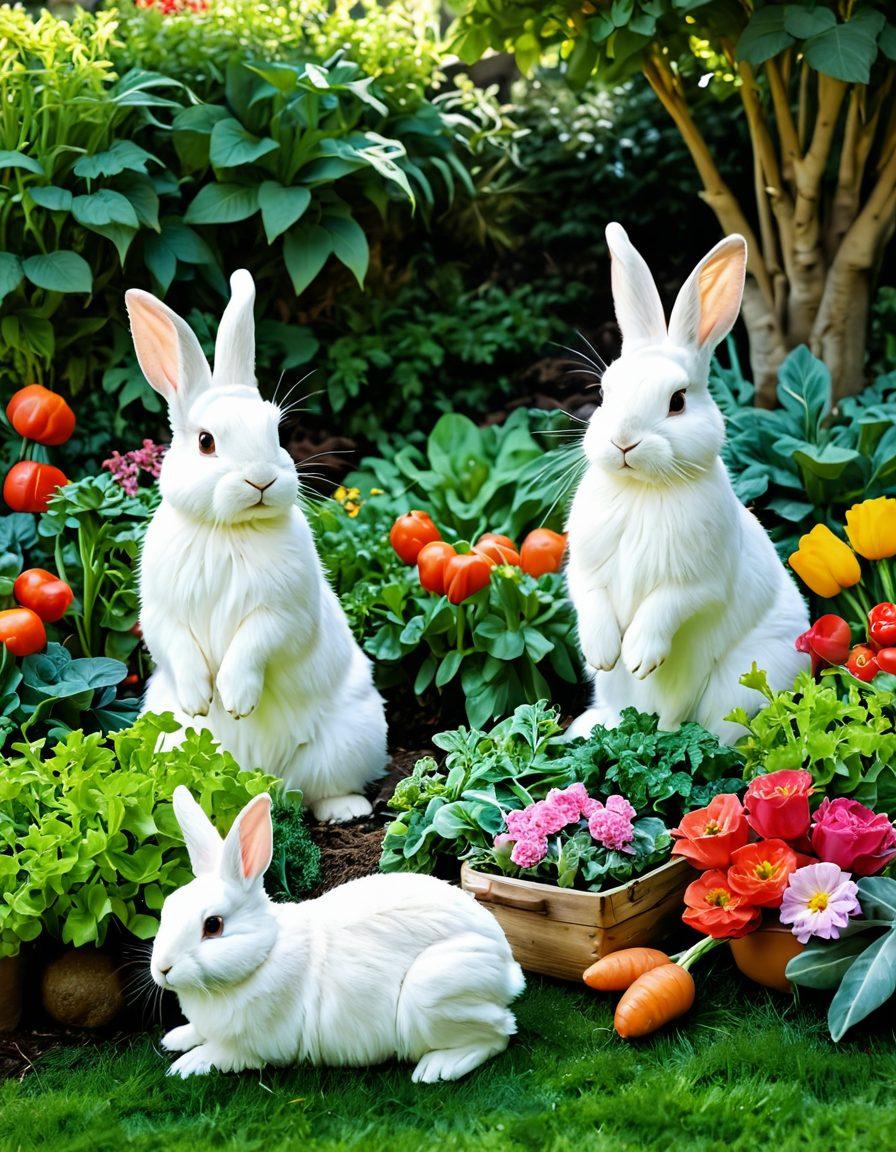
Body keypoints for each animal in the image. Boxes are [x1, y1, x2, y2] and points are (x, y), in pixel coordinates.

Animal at [125, 271, 388, 822]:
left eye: (277, 432)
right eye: (205, 441)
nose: (262, 479)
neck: (227, 529)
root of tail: (269, 779)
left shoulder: (285, 613)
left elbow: (255, 643)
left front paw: (236, 700)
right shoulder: (161, 614)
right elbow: (176, 644)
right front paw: (201, 701)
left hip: (353, 736)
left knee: (325, 787)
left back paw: (346, 810)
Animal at [150, 786, 525, 1082]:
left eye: (213, 925)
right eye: (168, 907)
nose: (163, 969)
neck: (263, 954)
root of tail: (507, 968)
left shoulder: (258, 1047)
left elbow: (223, 1053)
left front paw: (186, 1064)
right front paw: (176, 1038)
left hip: (433, 993)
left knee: (499, 1033)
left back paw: (437, 1068)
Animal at [565, 224, 809, 745]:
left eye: (677, 401)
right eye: (605, 393)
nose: (623, 441)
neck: (643, 490)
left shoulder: (700, 581)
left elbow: (666, 606)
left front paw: (638, 656)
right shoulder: (584, 569)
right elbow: (591, 597)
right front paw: (603, 653)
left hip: (745, 682)